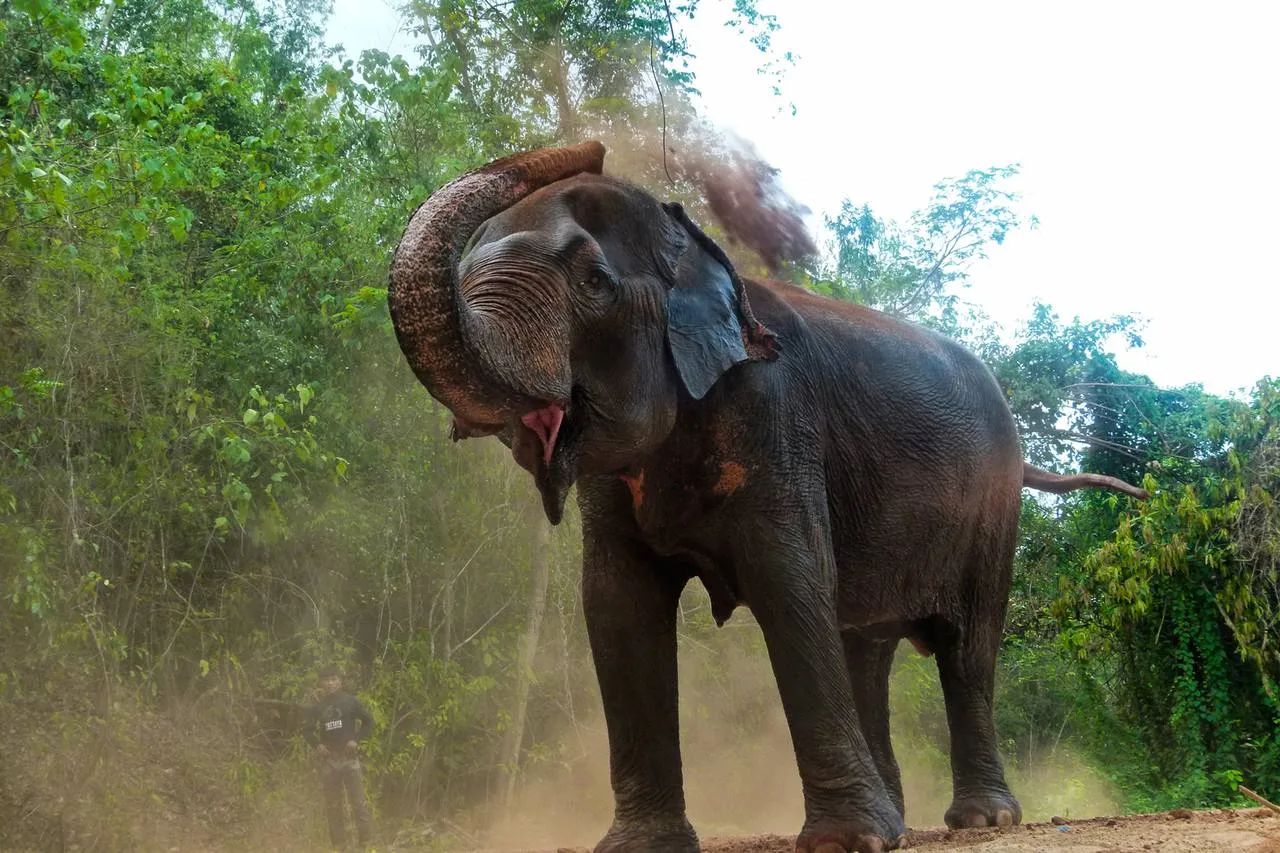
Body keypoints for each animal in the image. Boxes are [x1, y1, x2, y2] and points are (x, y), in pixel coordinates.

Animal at [384, 142, 1146, 845]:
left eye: (595, 282)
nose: (593, 148)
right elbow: (617, 605)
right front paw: (641, 846)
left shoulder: (776, 418)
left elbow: (788, 582)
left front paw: (847, 843)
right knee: (864, 646)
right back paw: (902, 820)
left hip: (992, 511)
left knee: (968, 645)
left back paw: (982, 819)